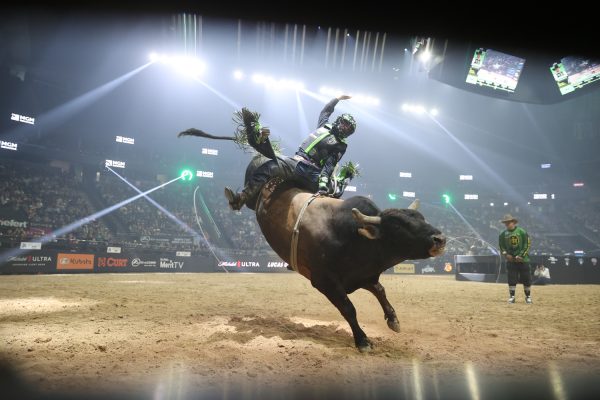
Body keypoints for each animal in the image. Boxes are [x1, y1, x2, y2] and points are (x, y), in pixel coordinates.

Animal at [178, 108, 446, 350]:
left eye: (421, 217)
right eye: (399, 225)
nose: (440, 239)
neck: (350, 235)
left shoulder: (363, 275)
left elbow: (380, 290)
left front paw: (393, 319)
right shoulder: (324, 281)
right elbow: (349, 308)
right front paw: (362, 340)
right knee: (261, 176)